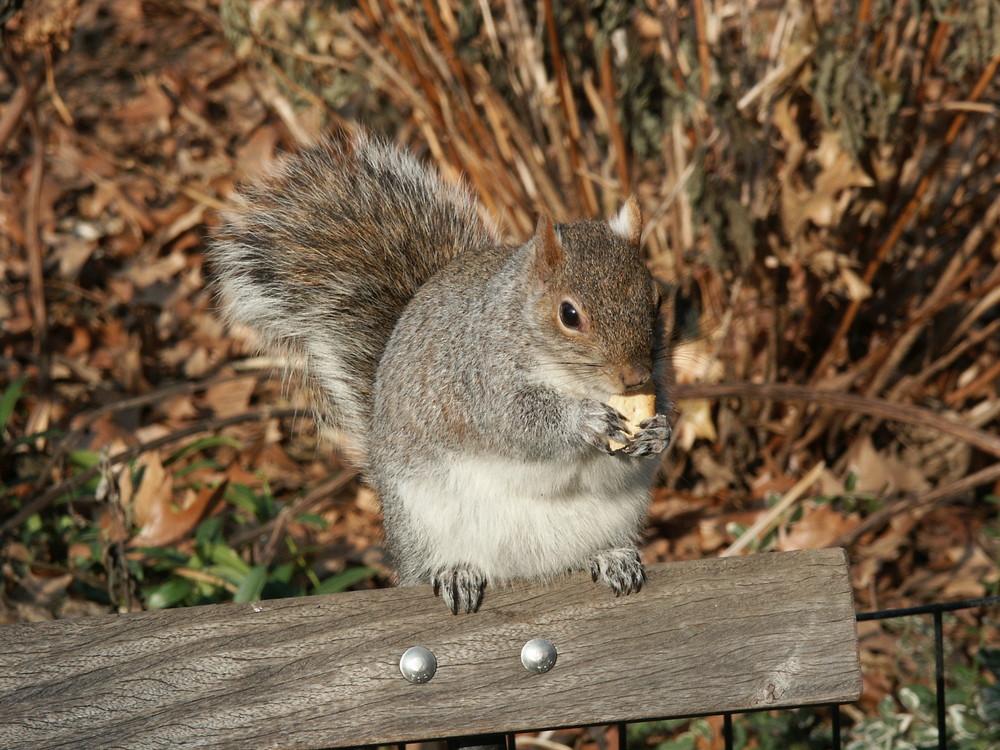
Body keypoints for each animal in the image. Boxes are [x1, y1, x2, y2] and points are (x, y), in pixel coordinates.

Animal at [215, 132, 676, 612]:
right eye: (569, 314)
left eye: (657, 298)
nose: (633, 377)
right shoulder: (476, 379)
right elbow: (519, 422)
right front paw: (585, 420)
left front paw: (658, 431)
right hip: (426, 522)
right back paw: (456, 572)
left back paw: (612, 558)